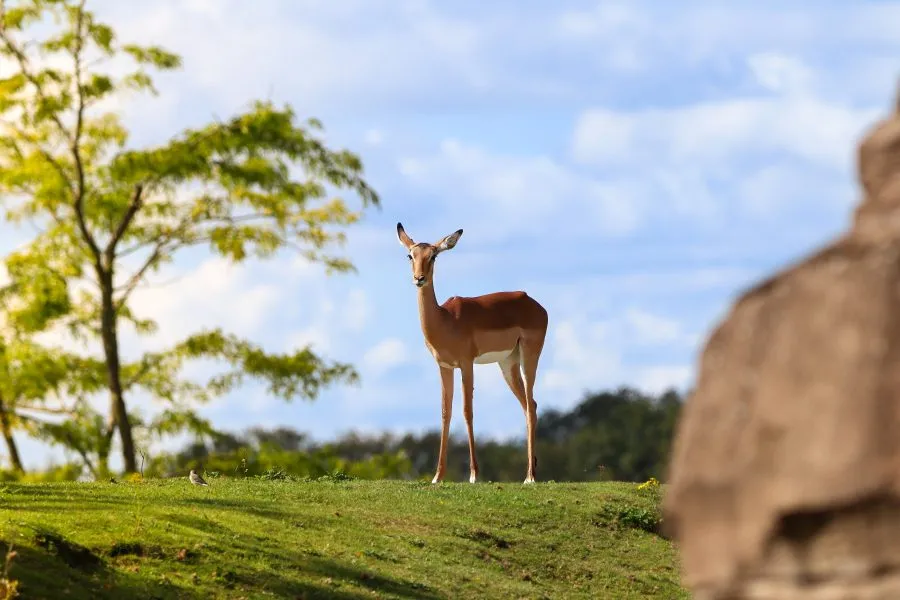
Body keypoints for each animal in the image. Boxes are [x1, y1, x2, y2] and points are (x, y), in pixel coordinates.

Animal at [396, 223, 549, 484]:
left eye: (433, 256)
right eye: (410, 255)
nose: (419, 278)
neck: (445, 320)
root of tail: (534, 303)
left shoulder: (466, 364)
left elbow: (468, 411)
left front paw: (474, 474)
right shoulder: (444, 366)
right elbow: (445, 413)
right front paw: (437, 477)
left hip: (529, 357)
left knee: (530, 405)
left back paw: (530, 477)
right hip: (507, 365)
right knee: (531, 406)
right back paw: (531, 471)